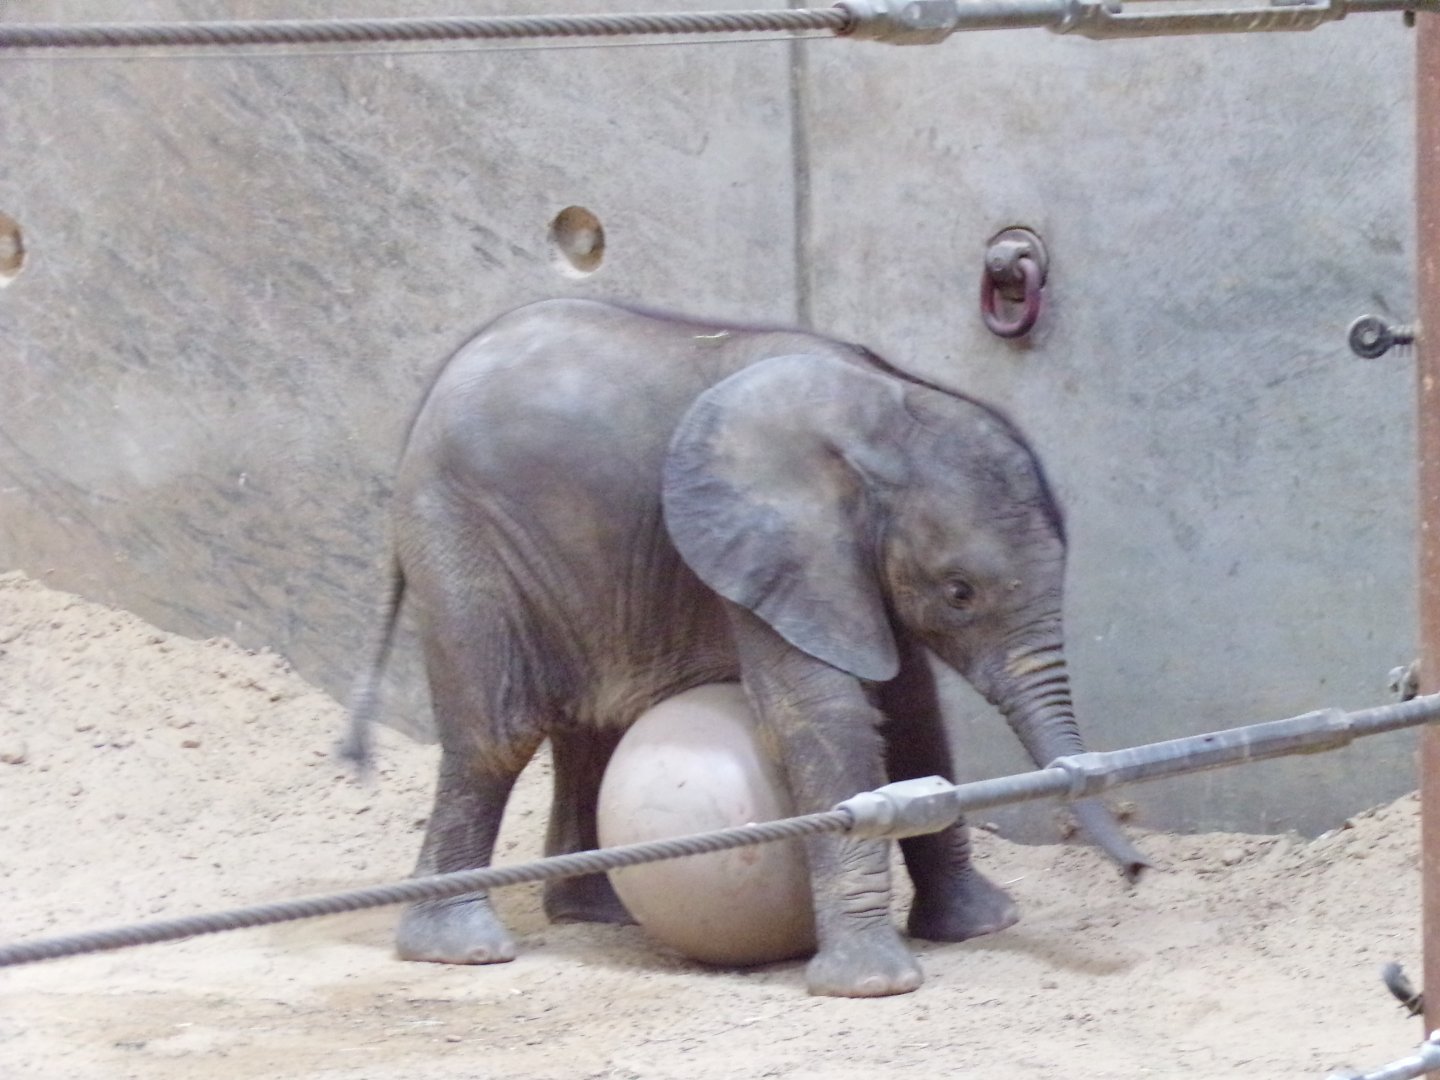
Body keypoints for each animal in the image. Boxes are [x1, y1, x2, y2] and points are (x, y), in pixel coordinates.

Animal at [345, 297, 1148, 998]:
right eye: (960, 592)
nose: (1137, 872)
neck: (884, 407)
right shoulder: (768, 540)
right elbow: (822, 713)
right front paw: (874, 985)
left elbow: (912, 712)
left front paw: (982, 928)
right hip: (459, 530)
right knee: (499, 735)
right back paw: (461, 947)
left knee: (594, 729)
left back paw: (598, 915)